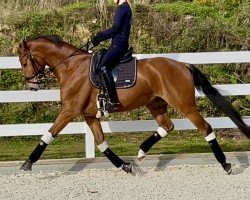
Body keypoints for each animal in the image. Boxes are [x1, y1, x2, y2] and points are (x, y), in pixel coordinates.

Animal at [17, 35, 250, 173]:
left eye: (24, 61)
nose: (32, 85)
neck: (71, 67)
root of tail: (182, 65)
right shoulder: (89, 115)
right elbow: (101, 143)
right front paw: (124, 165)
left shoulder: (69, 110)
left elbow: (49, 134)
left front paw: (28, 162)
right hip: (156, 104)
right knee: (167, 126)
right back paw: (141, 152)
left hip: (184, 104)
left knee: (205, 128)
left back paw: (225, 163)